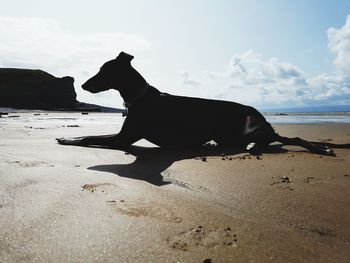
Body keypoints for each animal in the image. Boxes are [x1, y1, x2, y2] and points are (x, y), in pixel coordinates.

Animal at [56, 51, 348, 157]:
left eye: (104, 70)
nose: (84, 85)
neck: (140, 97)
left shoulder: (123, 138)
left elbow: (88, 137)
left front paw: (68, 139)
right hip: (232, 135)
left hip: (249, 125)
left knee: (289, 137)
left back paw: (320, 148)